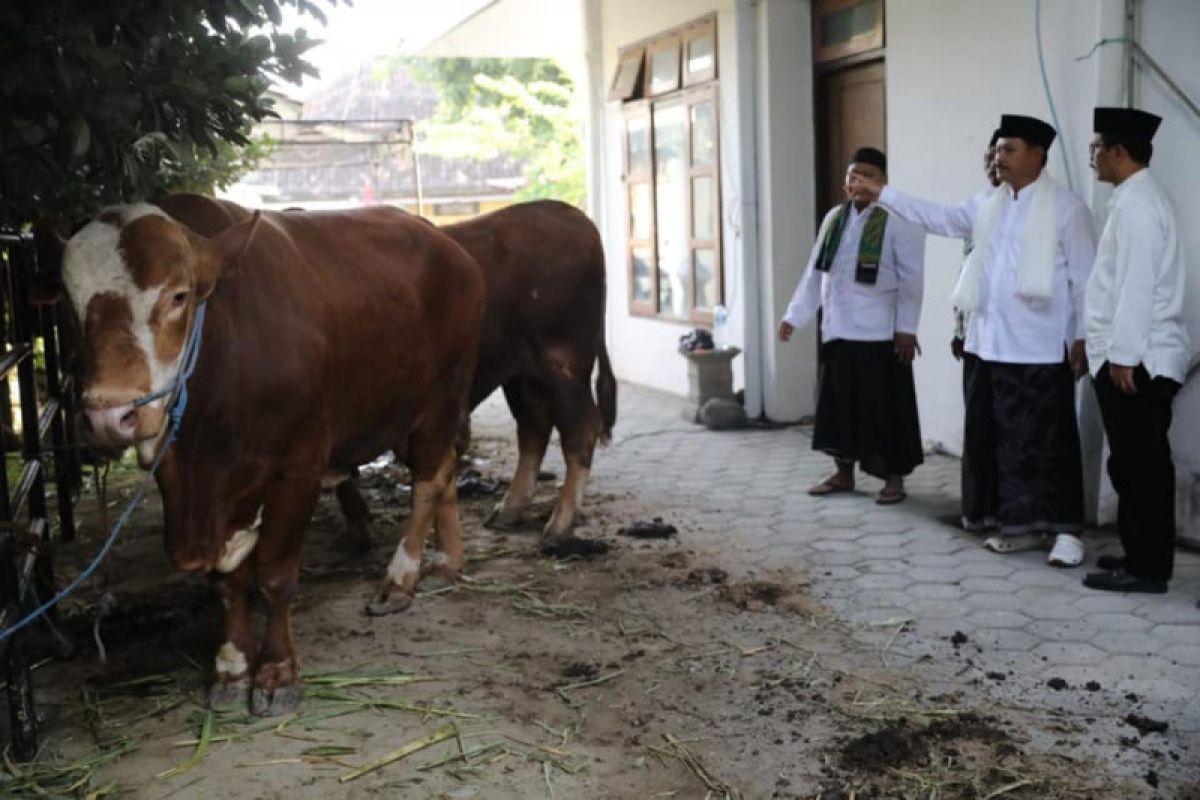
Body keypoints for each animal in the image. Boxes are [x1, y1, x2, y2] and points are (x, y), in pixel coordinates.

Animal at [55, 196, 487, 714]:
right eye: (72, 307)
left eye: (178, 296)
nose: (109, 414)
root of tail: (451, 248)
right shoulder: (199, 481)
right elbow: (227, 581)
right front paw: (232, 667)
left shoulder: (297, 468)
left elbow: (275, 575)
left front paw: (277, 672)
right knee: (445, 473)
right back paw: (446, 561)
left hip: (439, 402)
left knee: (428, 482)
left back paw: (400, 579)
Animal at [338, 200, 619, 551]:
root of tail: (570, 213)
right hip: (523, 375)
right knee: (534, 429)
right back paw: (510, 508)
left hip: (565, 366)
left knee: (580, 430)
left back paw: (559, 523)